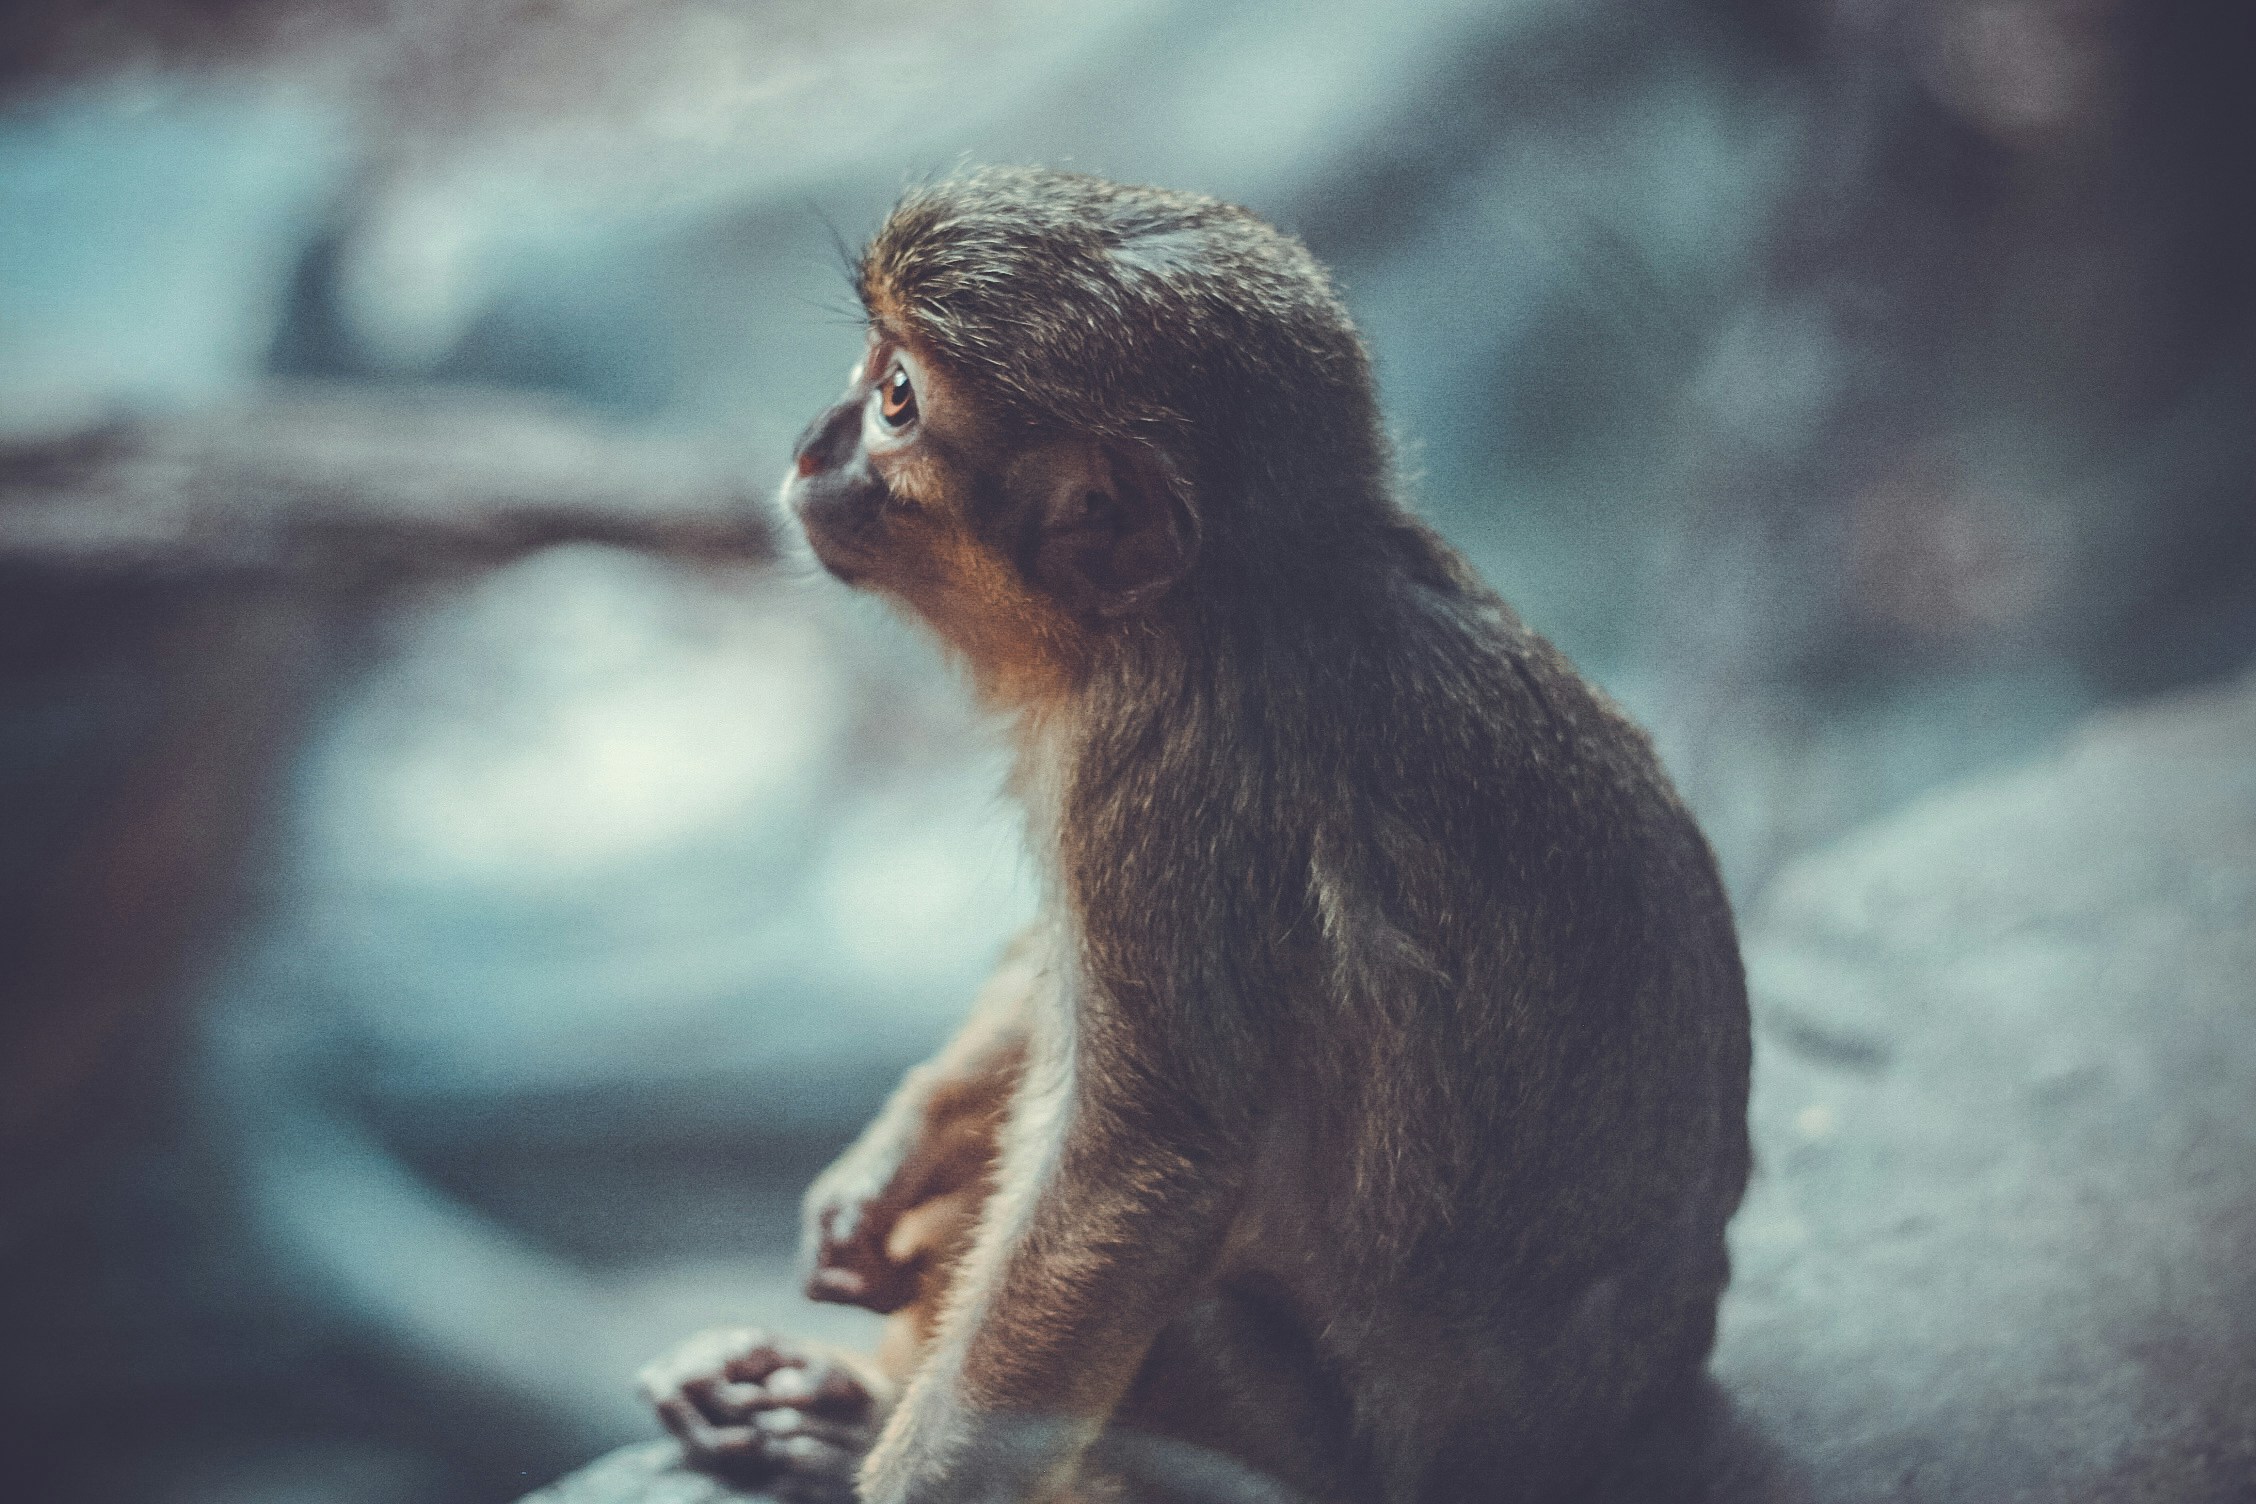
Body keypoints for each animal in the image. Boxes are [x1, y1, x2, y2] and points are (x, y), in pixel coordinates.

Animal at [639, 166, 1751, 1504]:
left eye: (897, 399)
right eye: (870, 371)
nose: (814, 441)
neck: (1217, 604)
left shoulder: (1162, 764)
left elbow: (1141, 1171)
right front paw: (884, 1159)